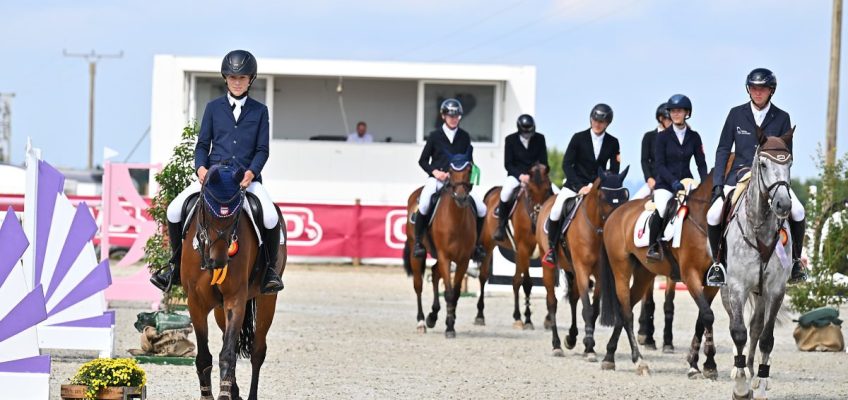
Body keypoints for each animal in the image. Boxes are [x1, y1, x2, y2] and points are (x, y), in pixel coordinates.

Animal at [181, 162, 286, 400]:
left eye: (236, 216)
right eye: (206, 210)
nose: (218, 260)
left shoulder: (235, 299)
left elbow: (227, 355)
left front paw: (224, 393)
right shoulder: (195, 302)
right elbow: (205, 356)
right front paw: (210, 394)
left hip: (267, 299)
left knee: (257, 350)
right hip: (220, 309)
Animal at [402, 156, 476, 338]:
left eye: (469, 170)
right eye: (450, 171)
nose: (461, 197)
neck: (456, 220)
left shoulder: (463, 260)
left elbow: (455, 293)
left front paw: (451, 321)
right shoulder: (445, 256)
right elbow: (448, 292)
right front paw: (449, 328)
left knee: (435, 273)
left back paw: (433, 316)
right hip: (417, 253)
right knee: (418, 285)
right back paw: (422, 322)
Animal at [476, 162, 556, 328]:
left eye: (548, 189)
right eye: (529, 191)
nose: (537, 222)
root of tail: (494, 191)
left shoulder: (538, 253)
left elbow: (546, 284)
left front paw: (547, 319)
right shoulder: (524, 249)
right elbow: (527, 283)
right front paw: (527, 319)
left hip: (517, 253)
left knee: (514, 280)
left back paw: (517, 316)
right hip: (488, 245)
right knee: (483, 276)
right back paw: (480, 315)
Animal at [536, 167, 628, 360]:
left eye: (625, 196)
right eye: (603, 197)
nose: (616, 223)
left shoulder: (598, 274)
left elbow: (593, 309)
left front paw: (588, 345)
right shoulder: (582, 269)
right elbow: (587, 308)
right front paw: (589, 346)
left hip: (572, 269)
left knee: (573, 298)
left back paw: (571, 338)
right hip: (549, 267)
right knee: (552, 303)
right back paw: (557, 345)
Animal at [600, 170, 720, 376]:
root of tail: (617, 213)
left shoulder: (713, 283)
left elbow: (703, 318)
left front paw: (698, 363)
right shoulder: (691, 275)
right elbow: (707, 315)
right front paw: (707, 365)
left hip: (644, 274)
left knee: (626, 309)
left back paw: (609, 357)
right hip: (621, 269)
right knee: (626, 313)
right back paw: (639, 361)